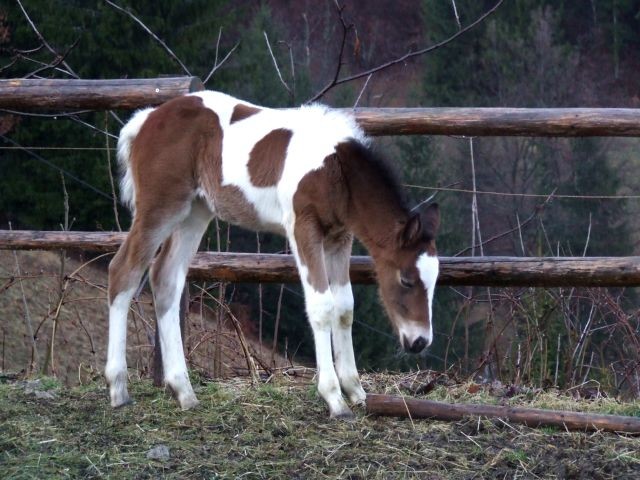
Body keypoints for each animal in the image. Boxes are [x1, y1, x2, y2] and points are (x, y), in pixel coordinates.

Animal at [107, 91, 442, 416]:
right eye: (406, 280)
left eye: (434, 282)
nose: (420, 342)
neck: (335, 170)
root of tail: (146, 119)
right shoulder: (303, 228)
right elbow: (322, 306)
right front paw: (334, 398)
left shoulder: (338, 237)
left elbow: (345, 307)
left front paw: (356, 391)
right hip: (161, 205)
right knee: (123, 271)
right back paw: (118, 389)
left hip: (196, 211)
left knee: (165, 278)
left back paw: (184, 392)